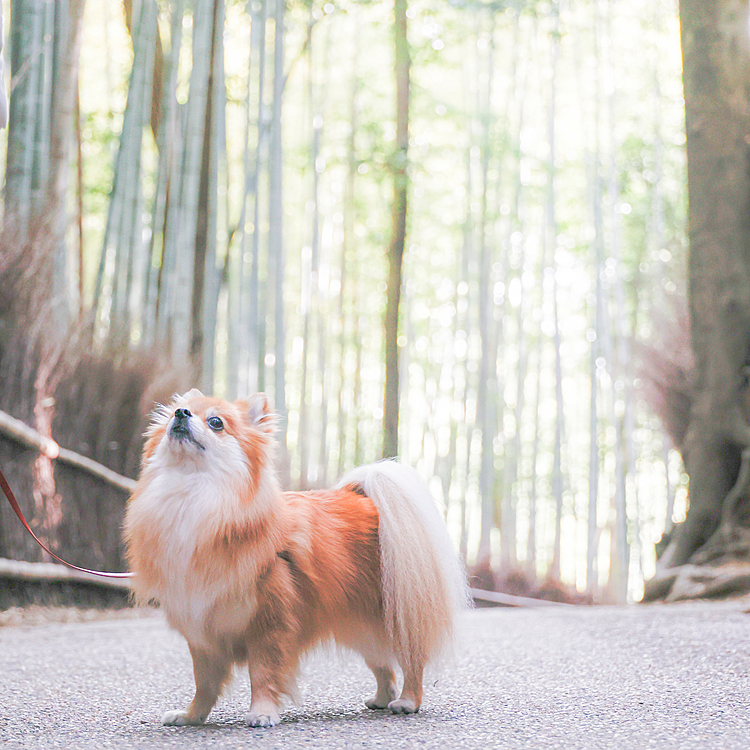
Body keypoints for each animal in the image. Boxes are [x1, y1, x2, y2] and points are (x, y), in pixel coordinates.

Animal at [127, 394, 470, 728]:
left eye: (216, 423)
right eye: (176, 412)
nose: (181, 414)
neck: (193, 498)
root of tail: (370, 502)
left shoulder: (269, 625)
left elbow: (262, 674)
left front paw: (262, 713)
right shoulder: (202, 631)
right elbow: (204, 683)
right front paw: (191, 716)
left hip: (394, 615)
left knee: (411, 661)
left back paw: (408, 701)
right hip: (359, 623)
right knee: (382, 663)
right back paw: (382, 699)